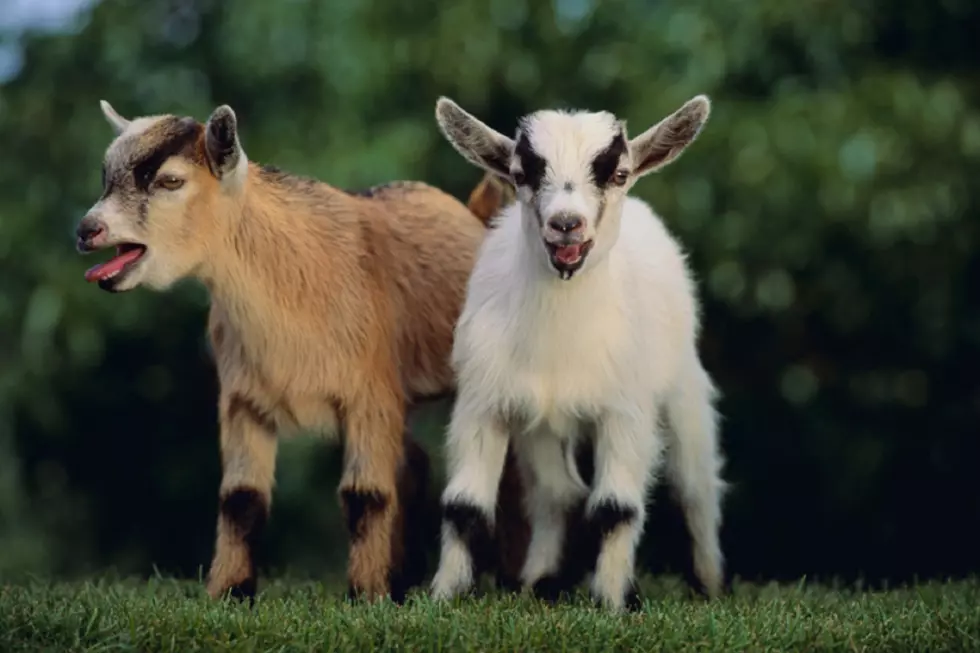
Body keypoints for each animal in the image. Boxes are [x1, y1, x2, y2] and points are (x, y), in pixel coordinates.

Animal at [74, 101, 524, 602]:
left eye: (171, 181)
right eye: (106, 174)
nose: (88, 230)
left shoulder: (370, 393)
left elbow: (365, 494)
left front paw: (365, 597)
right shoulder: (242, 399)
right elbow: (240, 498)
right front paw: (229, 592)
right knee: (414, 462)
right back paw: (405, 577)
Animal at [428, 95, 727, 610]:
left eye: (619, 173)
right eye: (520, 173)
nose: (566, 223)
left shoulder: (625, 412)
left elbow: (615, 507)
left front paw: (611, 603)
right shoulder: (483, 403)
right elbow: (464, 506)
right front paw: (442, 596)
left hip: (684, 388)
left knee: (696, 485)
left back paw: (709, 583)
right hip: (543, 426)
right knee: (557, 492)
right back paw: (539, 580)